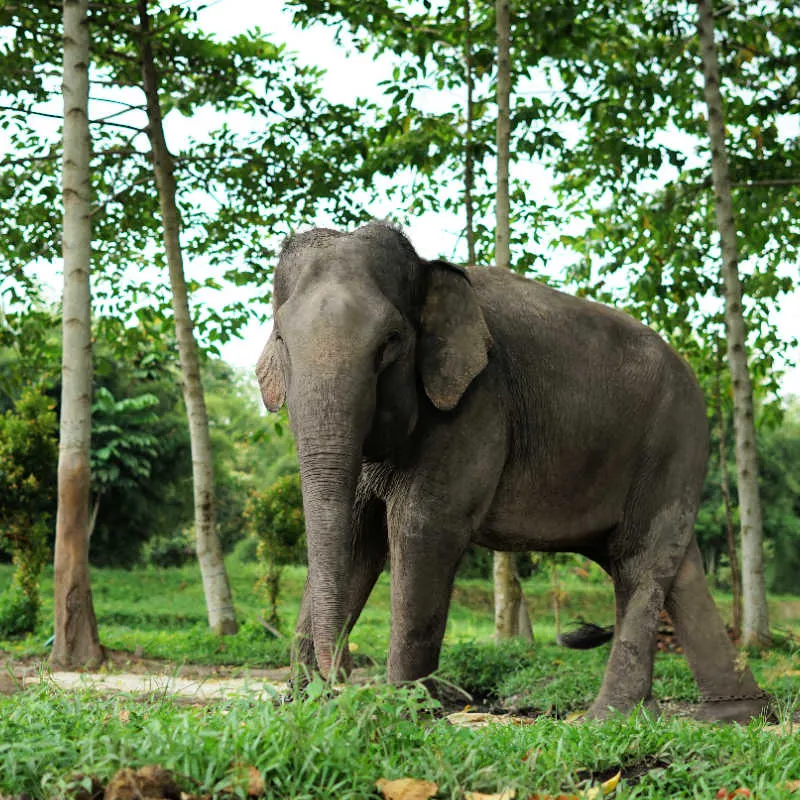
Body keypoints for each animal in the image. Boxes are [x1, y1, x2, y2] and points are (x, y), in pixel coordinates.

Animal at [256, 220, 769, 722]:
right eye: (280, 339)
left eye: (391, 342)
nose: (336, 680)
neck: (427, 268)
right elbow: (358, 536)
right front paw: (302, 708)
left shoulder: (476, 404)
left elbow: (423, 528)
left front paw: (408, 713)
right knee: (676, 566)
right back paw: (735, 713)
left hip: (673, 439)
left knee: (638, 560)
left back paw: (609, 718)